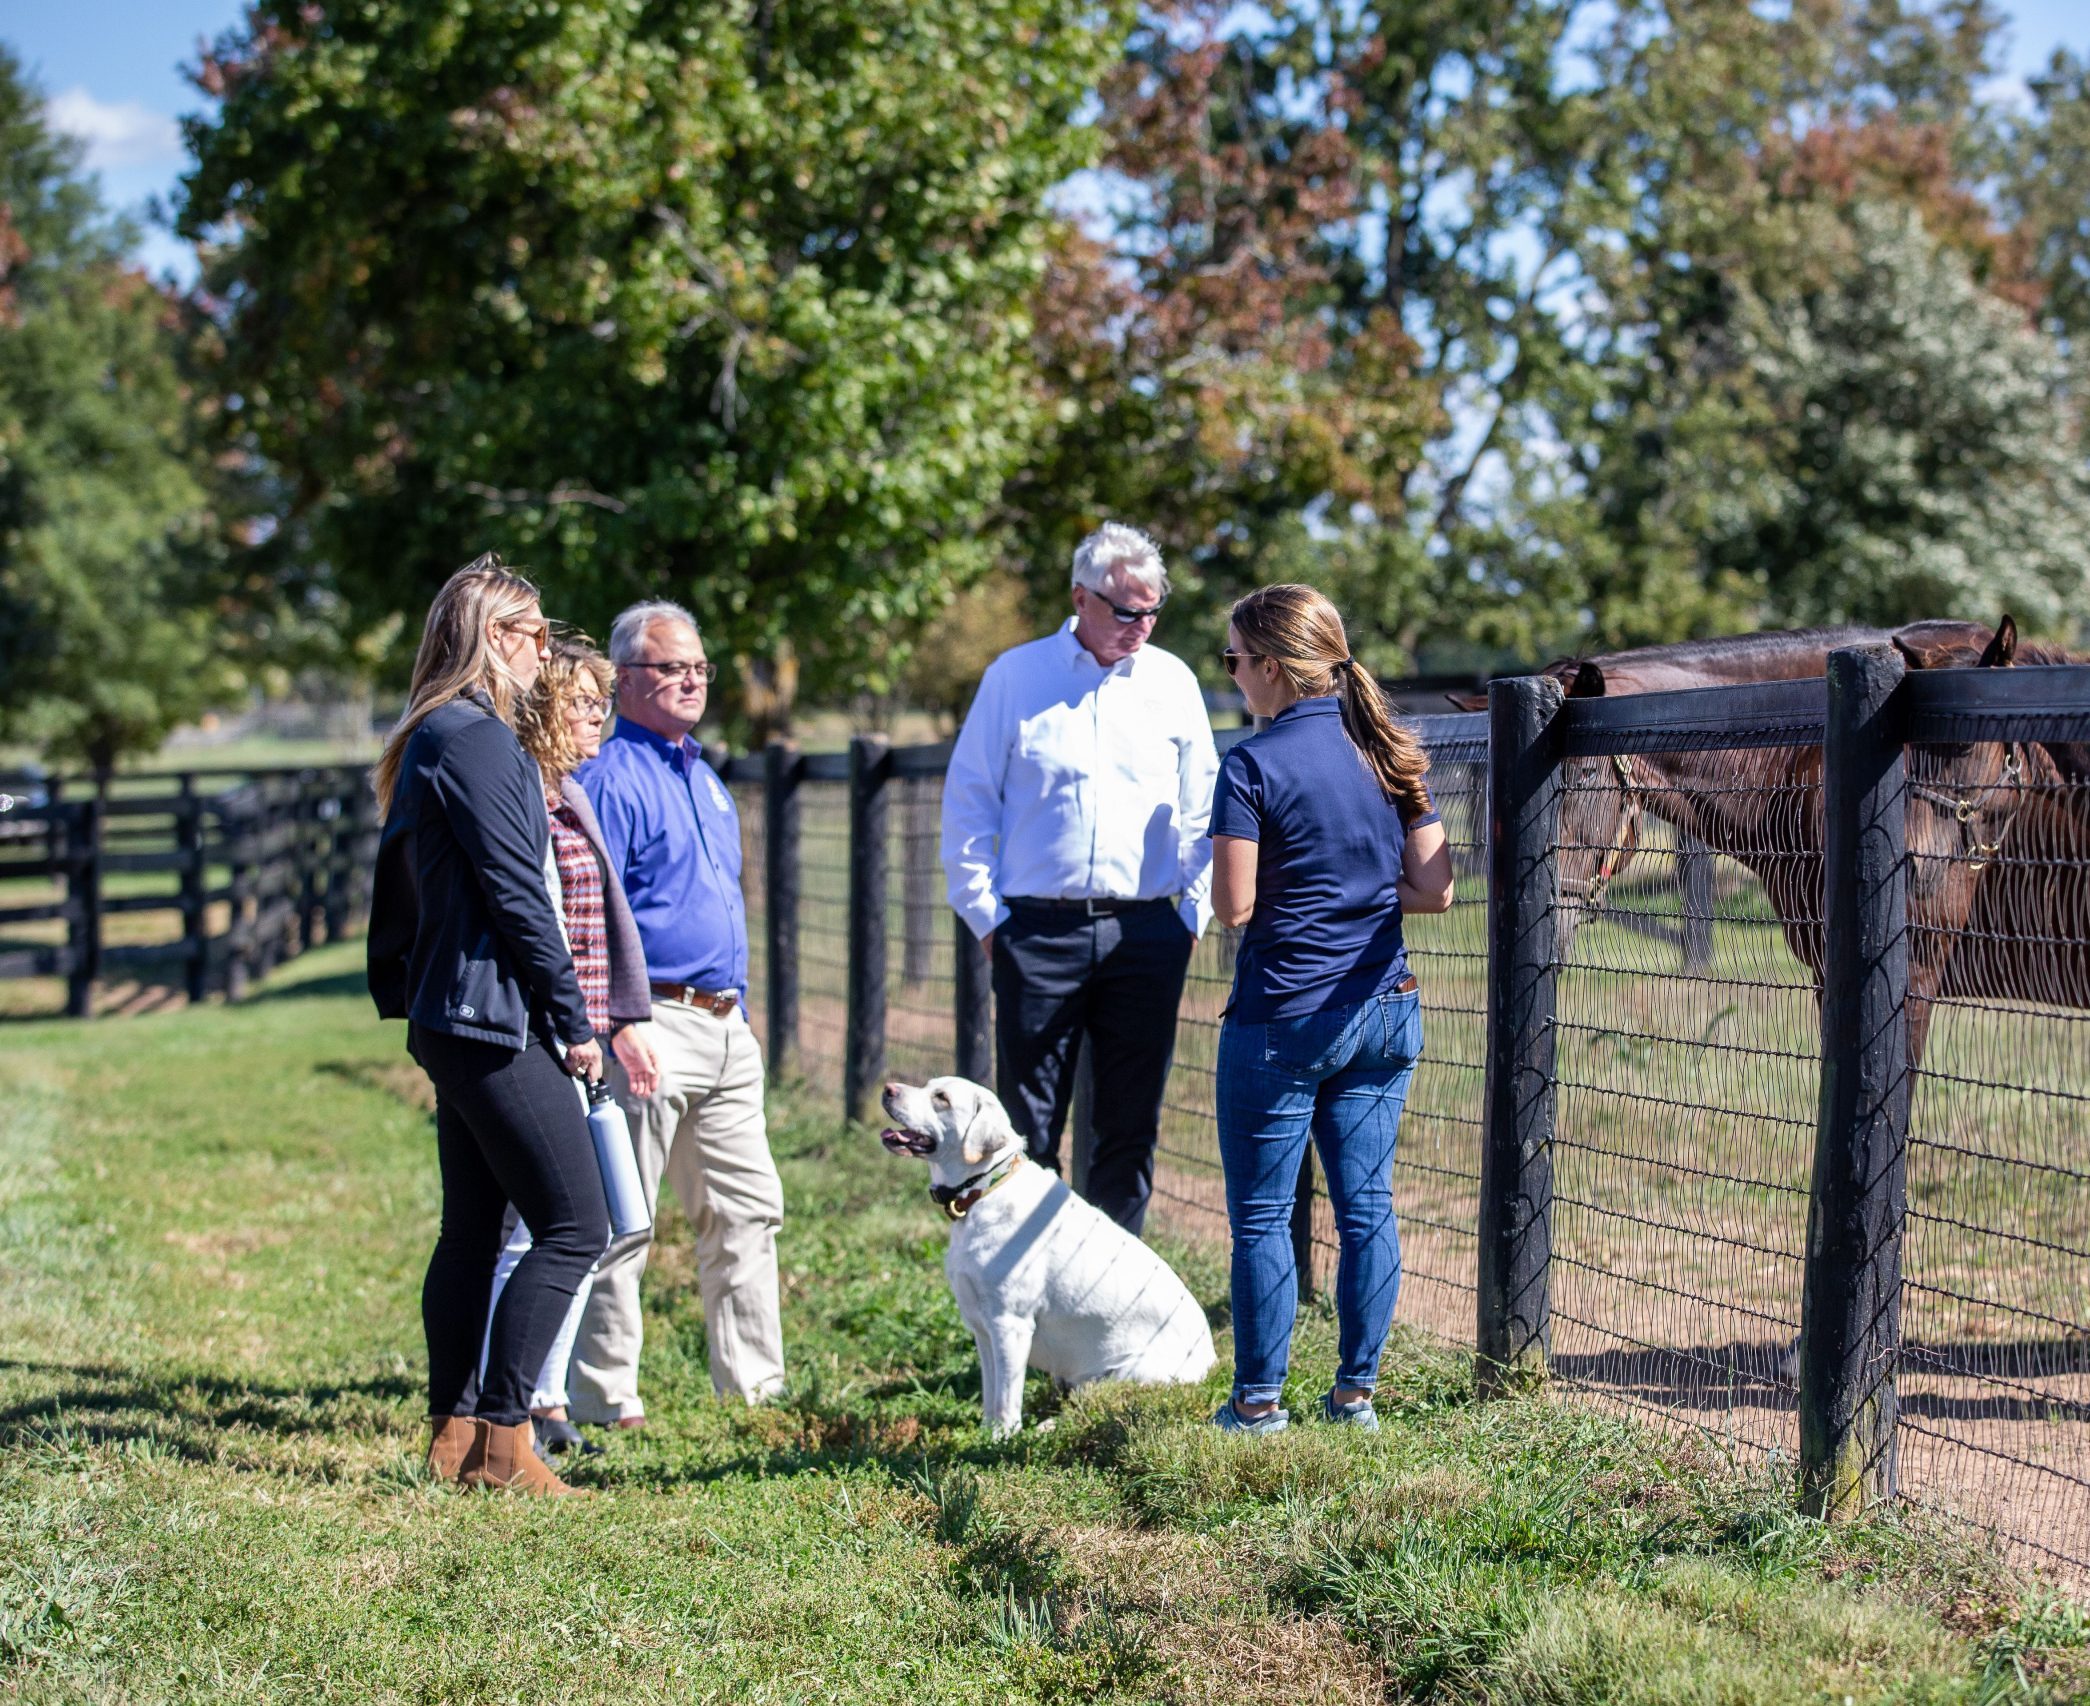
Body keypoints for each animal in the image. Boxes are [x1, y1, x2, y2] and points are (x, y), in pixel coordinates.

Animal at [877, 1070, 1212, 1430]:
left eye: (942, 1098)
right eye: (927, 1086)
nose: (888, 1089)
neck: (983, 1188)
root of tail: (1212, 1364)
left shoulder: (1010, 1325)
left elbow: (1006, 1399)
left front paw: (1001, 1437)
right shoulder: (982, 1327)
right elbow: (991, 1392)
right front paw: (986, 1431)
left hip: (1124, 1372)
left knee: (1090, 1406)